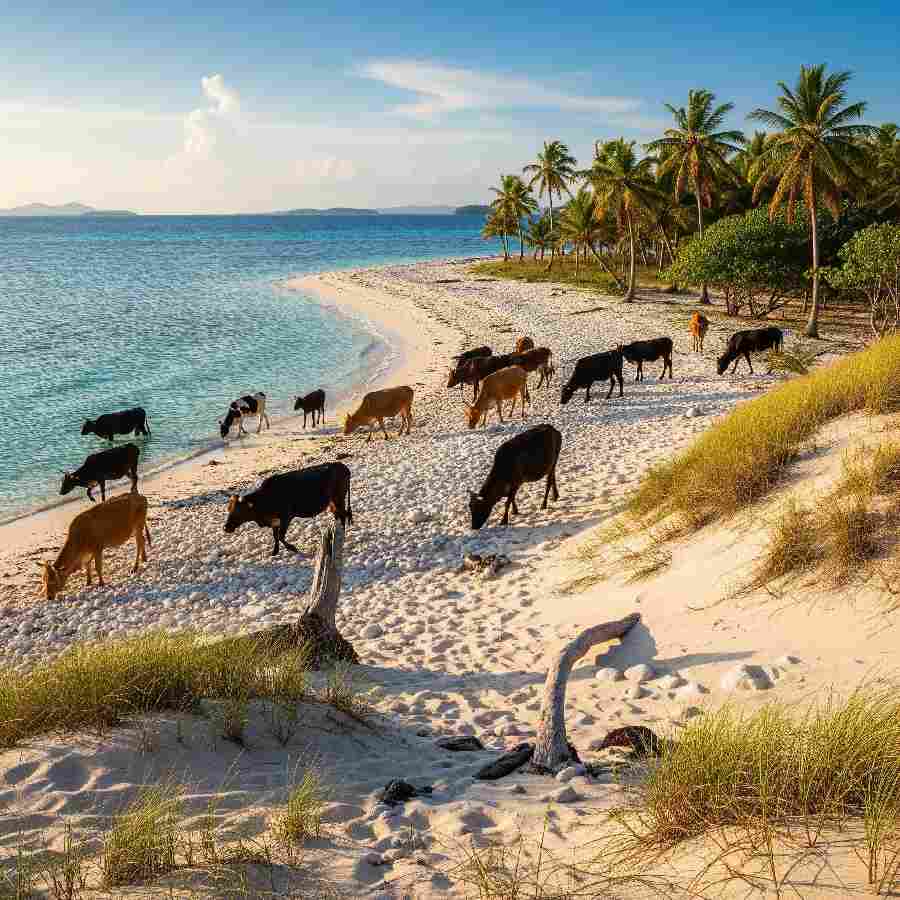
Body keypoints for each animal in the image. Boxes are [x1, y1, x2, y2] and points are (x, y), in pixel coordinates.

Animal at [223, 462, 352, 556]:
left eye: (239, 511)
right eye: (229, 509)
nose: (225, 527)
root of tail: (342, 466)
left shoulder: (286, 517)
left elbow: (280, 536)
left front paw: (292, 548)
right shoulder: (274, 520)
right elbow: (275, 535)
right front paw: (275, 551)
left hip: (338, 498)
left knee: (343, 514)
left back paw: (341, 533)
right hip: (332, 502)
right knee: (339, 514)